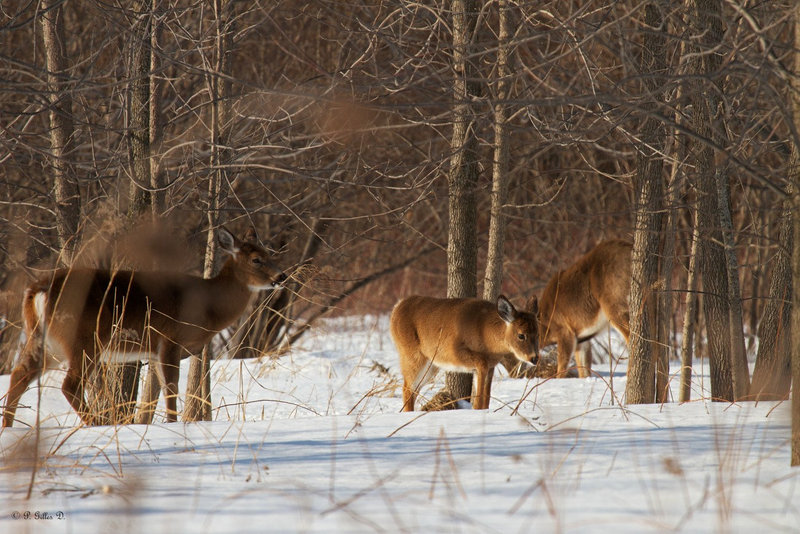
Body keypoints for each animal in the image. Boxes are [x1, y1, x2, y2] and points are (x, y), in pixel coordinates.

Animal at [1, 228, 284, 430]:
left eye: (270, 253)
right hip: (83, 338)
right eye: (257, 259)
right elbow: (172, 388)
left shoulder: (152, 350)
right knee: (69, 384)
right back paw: (97, 424)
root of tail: (38, 289)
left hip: (47, 341)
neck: (207, 304)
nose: (281, 277)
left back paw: (9, 427)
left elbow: (153, 396)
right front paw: (173, 424)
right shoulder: (170, 338)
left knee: (19, 374)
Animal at [392, 296, 540, 412]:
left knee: (413, 390)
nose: (534, 358)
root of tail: (397, 307)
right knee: (407, 388)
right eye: (521, 335)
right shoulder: (454, 352)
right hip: (412, 355)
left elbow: (486, 399)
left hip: (431, 365)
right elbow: (479, 397)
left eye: (538, 333)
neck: (485, 333)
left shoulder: (490, 366)